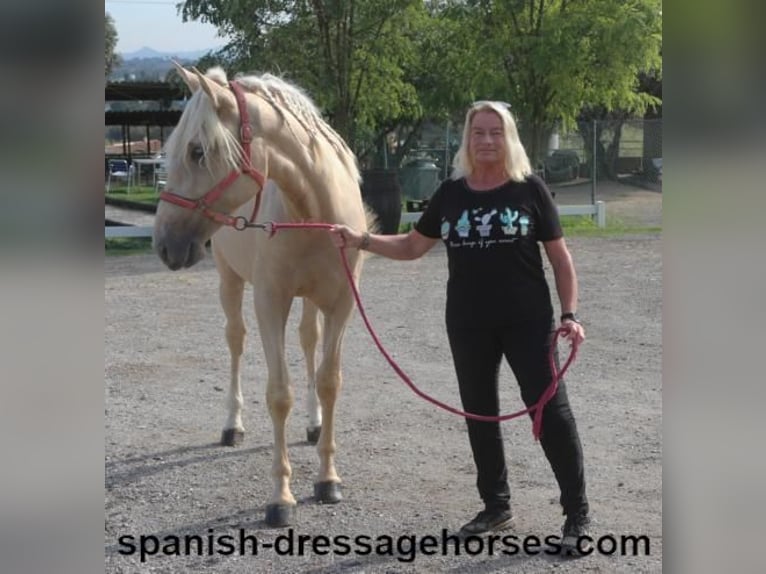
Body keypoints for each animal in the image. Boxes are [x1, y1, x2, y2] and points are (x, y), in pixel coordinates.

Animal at [152, 65, 372, 528]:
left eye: (197, 152)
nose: (163, 244)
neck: (313, 210)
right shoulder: (270, 303)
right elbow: (278, 394)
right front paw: (281, 498)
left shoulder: (341, 305)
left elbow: (329, 381)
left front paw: (328, 479)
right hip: (230, 282)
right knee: (236, 341)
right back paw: (232, 426)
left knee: (308, 341)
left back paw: (313, 423)